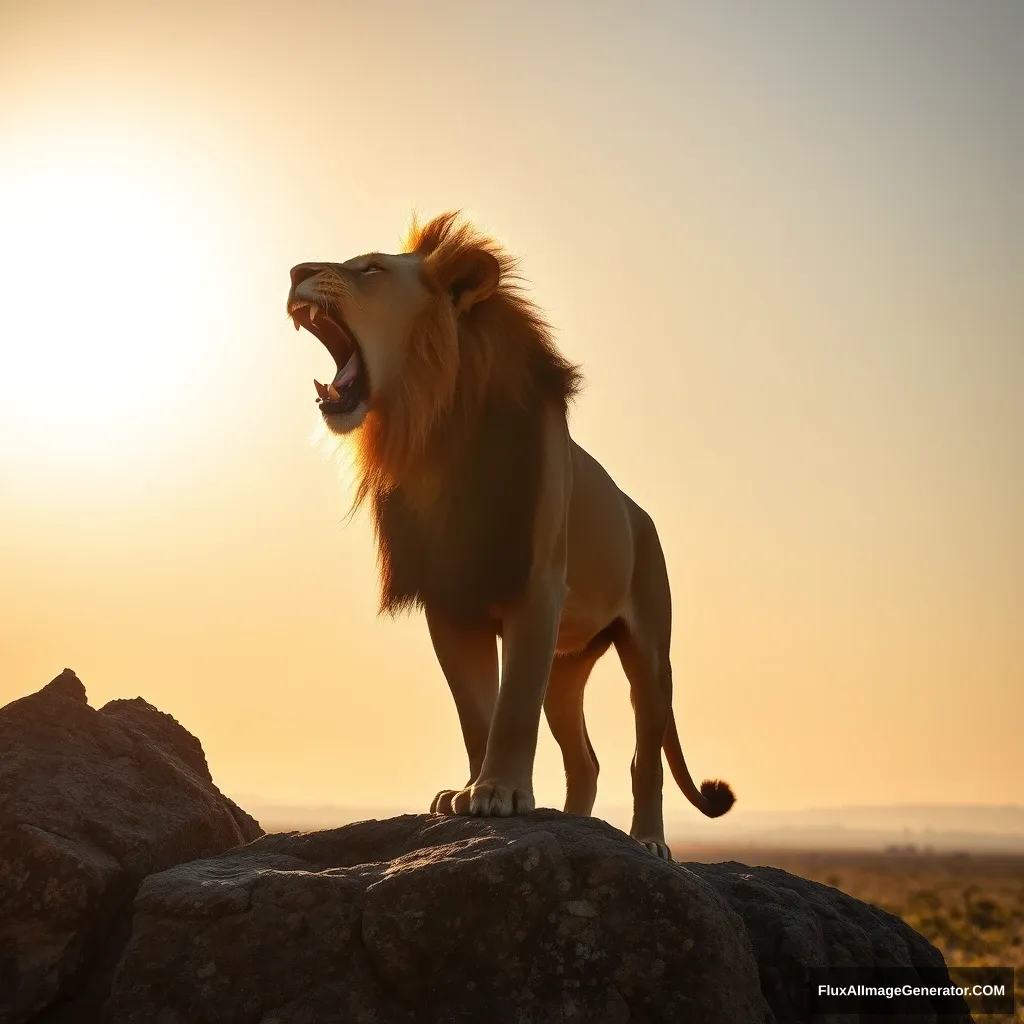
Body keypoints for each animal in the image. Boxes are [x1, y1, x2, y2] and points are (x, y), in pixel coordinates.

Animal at [286, 211, 737, 860]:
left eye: (370, 269)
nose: (295, 271)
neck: (436, 438)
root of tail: (639, 513)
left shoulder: (537, 586)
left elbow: (513, 705)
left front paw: (499, 793)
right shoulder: (450, 599)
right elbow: (478, 709)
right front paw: (471, 792)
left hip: (650, 651)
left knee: (643, 754)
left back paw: (648, 841)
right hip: (568, 666)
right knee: (586, 759)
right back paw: (577, 823)